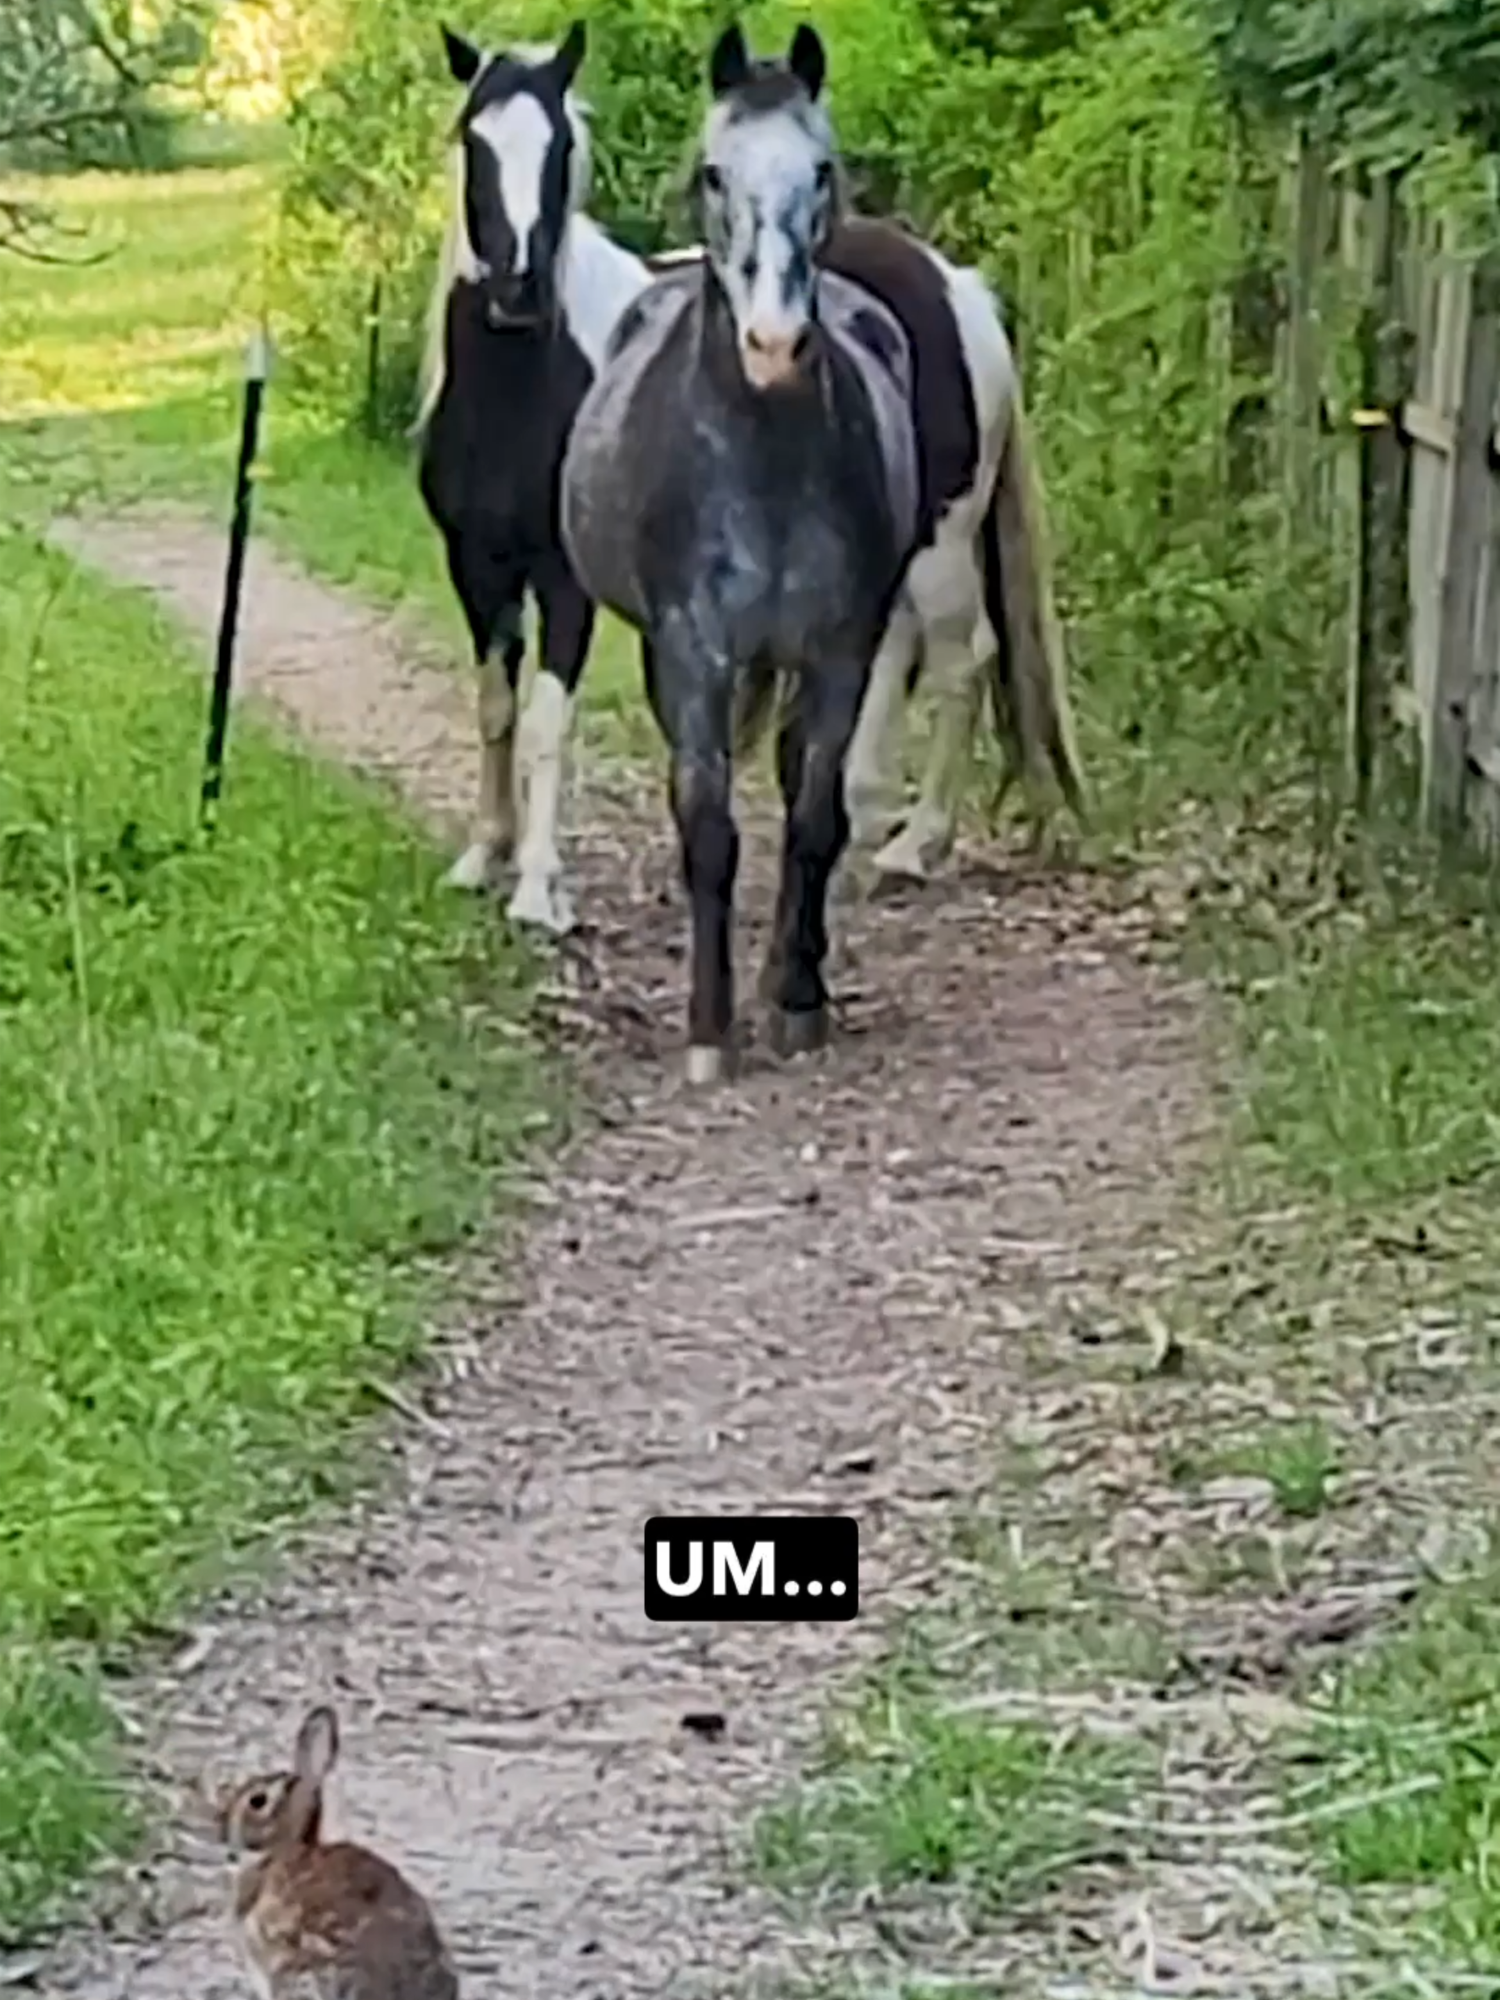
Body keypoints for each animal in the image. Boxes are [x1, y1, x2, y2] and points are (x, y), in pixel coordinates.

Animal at [413, 21, 652, 935]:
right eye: (473, 141)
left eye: (559, 149)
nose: (517, 287)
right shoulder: (477, 566)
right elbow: (496, 706)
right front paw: (487, 855)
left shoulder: (564, 580)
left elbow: (549, 719)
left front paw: (539, 888)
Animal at [559, 21, 1081, 1083]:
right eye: (714, 170)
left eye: (822, 170)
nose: (772, 342)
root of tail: (965, 292)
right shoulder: (693, 653)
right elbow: (710, 825)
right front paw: (711, 1024)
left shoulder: (834, 648)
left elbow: (813, 814)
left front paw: (797, 996)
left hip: (940, 551)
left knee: (957, 663)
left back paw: (911, 845)